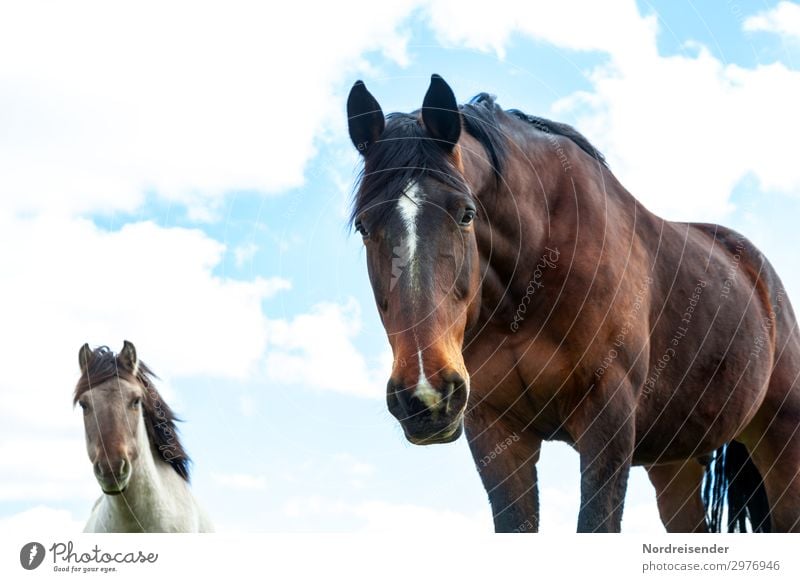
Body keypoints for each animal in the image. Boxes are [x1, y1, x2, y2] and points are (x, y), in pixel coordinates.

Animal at [346, 74, 800, 532]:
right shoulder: (494, 428)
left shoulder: (608, 418)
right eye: (364, 225)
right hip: (675, 463)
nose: (426, 394)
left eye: (466, 214)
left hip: (780, 443)